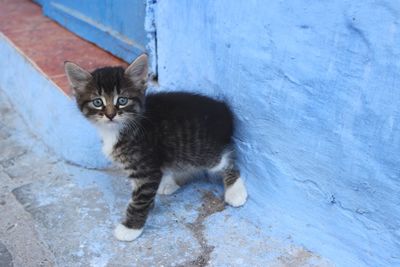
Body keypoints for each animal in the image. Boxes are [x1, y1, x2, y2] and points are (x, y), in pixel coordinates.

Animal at [64, 53, 247, 242]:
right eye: (97, 102)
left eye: (122, 100)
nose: (110, 115)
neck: (117, 130)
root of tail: (222, 109)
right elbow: (140, 192)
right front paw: (147, 206)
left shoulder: (146, 168)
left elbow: (139, 200)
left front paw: (130, 228)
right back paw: (170, 182)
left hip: (203, 152)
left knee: (226, 161)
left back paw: (235, 191)